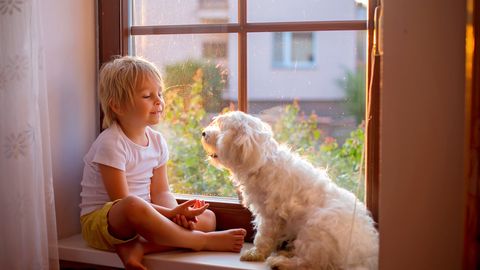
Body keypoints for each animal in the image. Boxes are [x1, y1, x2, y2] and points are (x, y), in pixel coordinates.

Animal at [201, 110, 376, 268]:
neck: (262, 162)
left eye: (221, 127)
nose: (203, 133)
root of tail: (364, 257)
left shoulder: (269, 215)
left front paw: (255, 253)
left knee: (311, 262)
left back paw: (282, 262)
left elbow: (263, 236)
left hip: (314, 229)